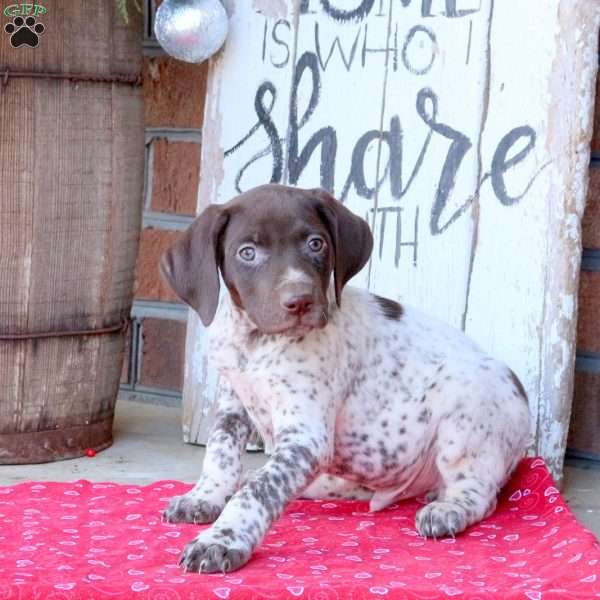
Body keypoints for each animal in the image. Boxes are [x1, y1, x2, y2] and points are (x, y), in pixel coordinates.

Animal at [159, 182, 528, 572]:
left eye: (316, 243)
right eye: (247, 253)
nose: (300, 301)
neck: (256, 343)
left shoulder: (305, 438)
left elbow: (261, 489)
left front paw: (222, 538)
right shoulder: (234, 402)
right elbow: (220, 452)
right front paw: (205, 496)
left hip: (465, 413)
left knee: (479, 491)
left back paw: (449, 509)